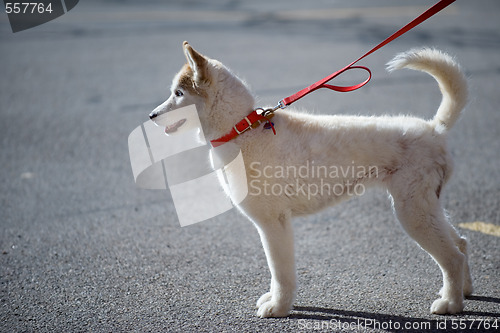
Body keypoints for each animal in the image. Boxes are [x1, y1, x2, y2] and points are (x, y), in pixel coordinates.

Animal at [148, 41, 472, 316]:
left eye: (178, 94)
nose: (151, 116)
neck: (242, 130)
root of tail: (435, 130)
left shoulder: (273, 224)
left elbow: (281, 272)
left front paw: (279, 308)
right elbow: (277, 273)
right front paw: (274, 301)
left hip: (412, 213)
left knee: (452, 257)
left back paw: (451, 304)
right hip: (424, 208)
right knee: (461, 243)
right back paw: (464, 291)